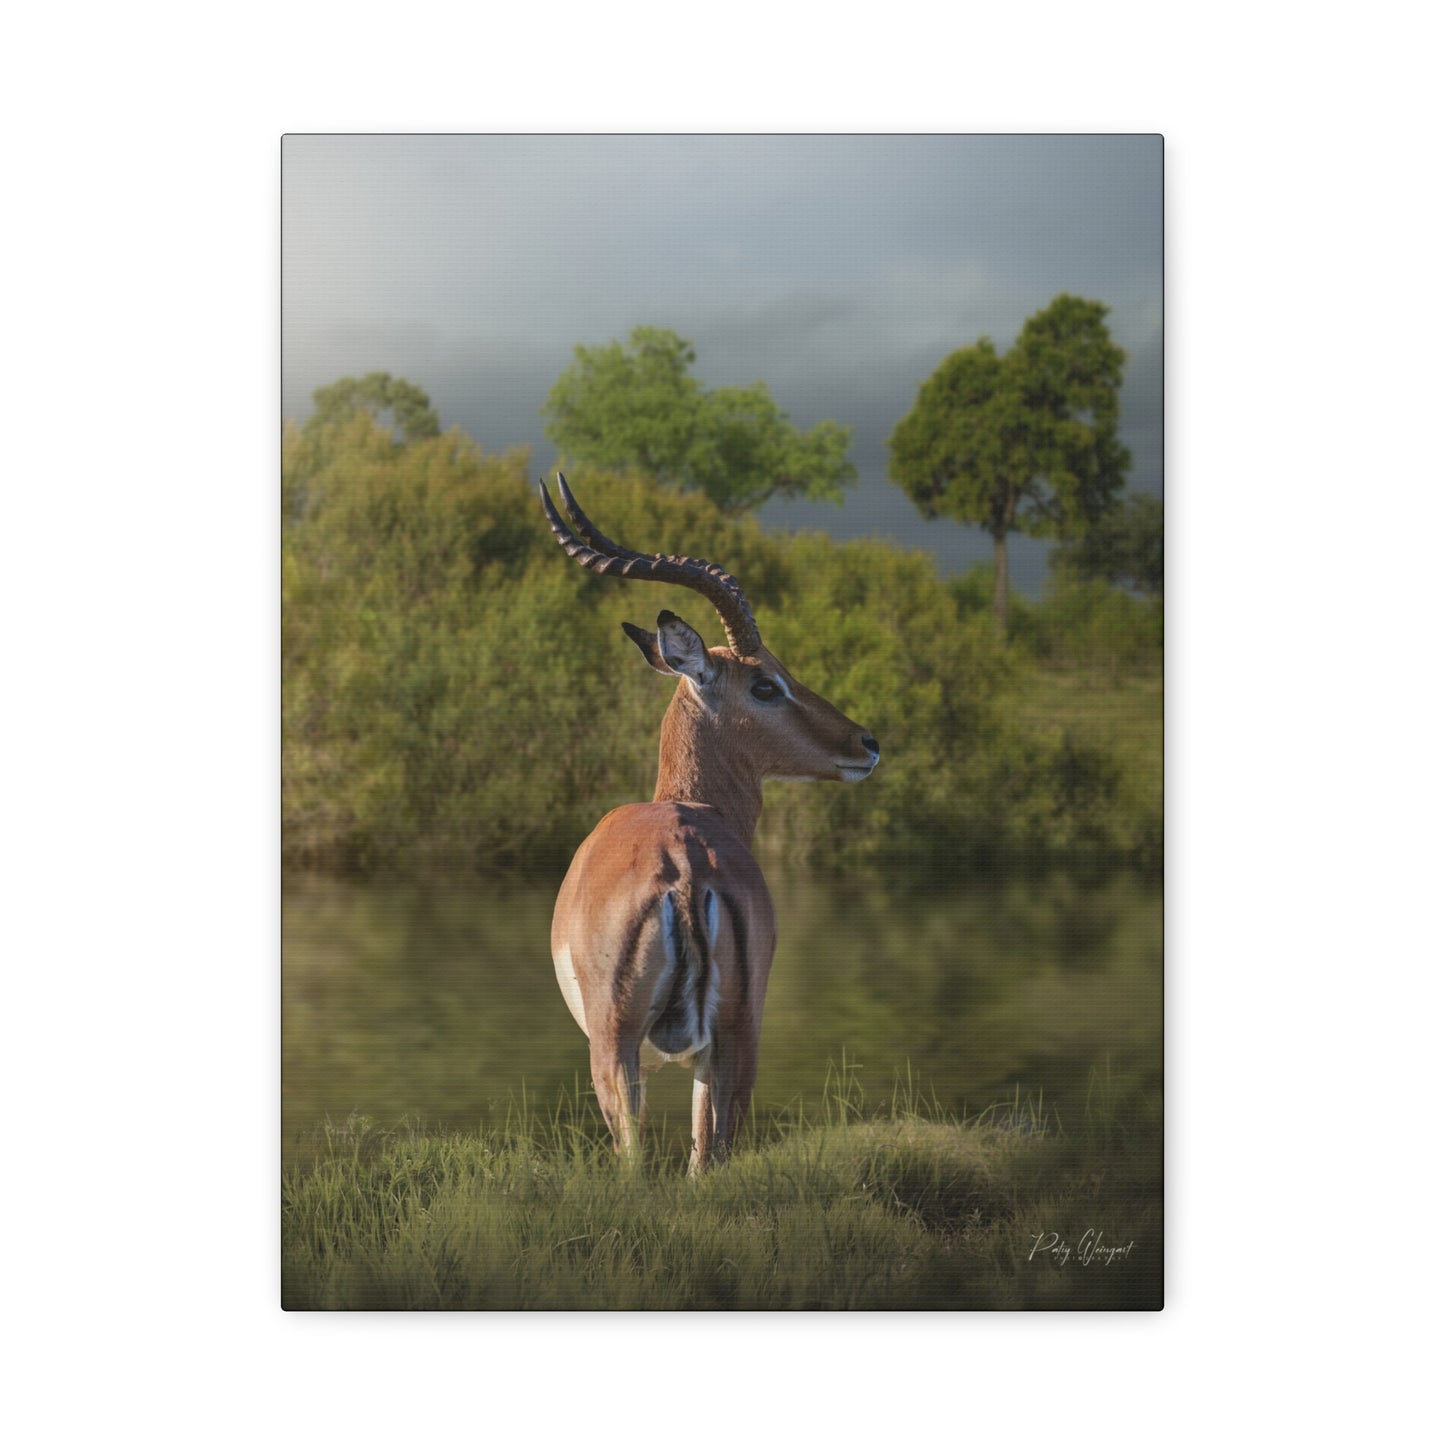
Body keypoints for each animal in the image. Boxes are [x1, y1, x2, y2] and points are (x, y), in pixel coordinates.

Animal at [540, 473, 880, 1173]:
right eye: (766, 684)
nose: (866, 742)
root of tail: (683, 867)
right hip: (734, 1037)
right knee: (707, 1161)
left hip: (620, 1048)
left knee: (640, 1163)